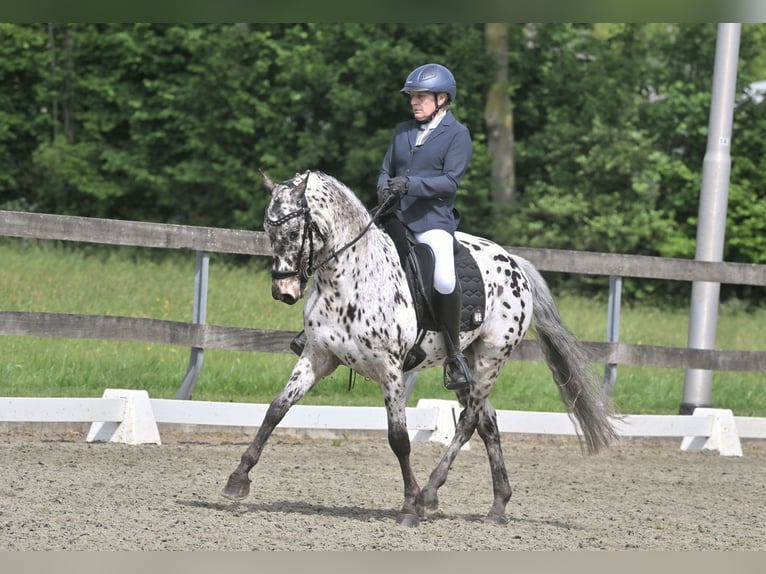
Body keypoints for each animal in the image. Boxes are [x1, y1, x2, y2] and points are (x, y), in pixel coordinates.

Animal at [221, 170, 617, 527]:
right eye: (267, 231)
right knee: (487, 421)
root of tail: (514, 263)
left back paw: (428, 495)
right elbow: (276, 410)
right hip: (466, 363)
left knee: (468, 422)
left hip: (491, 358)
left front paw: (409, 505)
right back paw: (497, 506)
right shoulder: (318, 356)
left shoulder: (391, 369)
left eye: (292, 232)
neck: (350, 277)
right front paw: (237, 479)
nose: (283, 291)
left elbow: (399, 438)